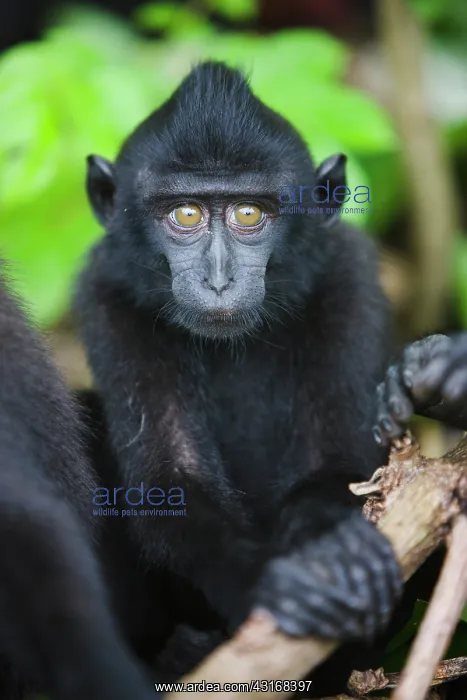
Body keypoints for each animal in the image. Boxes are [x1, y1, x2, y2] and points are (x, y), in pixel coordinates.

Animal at [74, 61, 402, 694]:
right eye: (185, 214)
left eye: (250, 214)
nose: (219, 280)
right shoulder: (105, 294)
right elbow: (171, 484)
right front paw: (276, 581)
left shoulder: (346, 273)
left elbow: (343, 466)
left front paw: (332, 545)